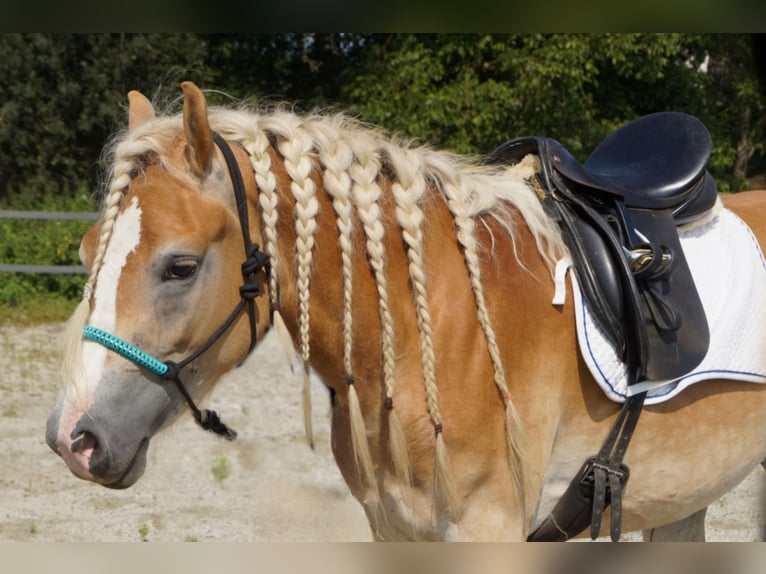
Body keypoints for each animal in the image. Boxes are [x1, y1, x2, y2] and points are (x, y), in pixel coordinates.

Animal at [46, 82, 766, 544]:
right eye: (86, 252)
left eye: (181, 266)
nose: (73, 438)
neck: (433, 332)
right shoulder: (393, 527)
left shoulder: (491, 529)